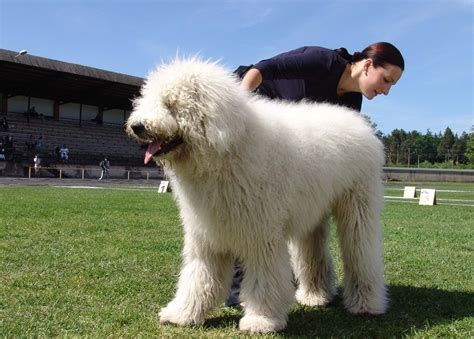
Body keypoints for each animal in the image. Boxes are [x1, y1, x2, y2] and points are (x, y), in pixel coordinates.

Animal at [127, 58, 388, 334]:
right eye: (149, 99)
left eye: (171, 103)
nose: (137, 126)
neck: (228, 150)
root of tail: (361, 124)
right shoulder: (207, 232)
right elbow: (199, 276)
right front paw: (182, 313)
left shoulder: (262, 233)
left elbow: (264, 277)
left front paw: (260, 320)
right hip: (312, 215)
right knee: (313, 254)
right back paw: (315, 296)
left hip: (358, 205)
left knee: (361, 253)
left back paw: (366, 304)